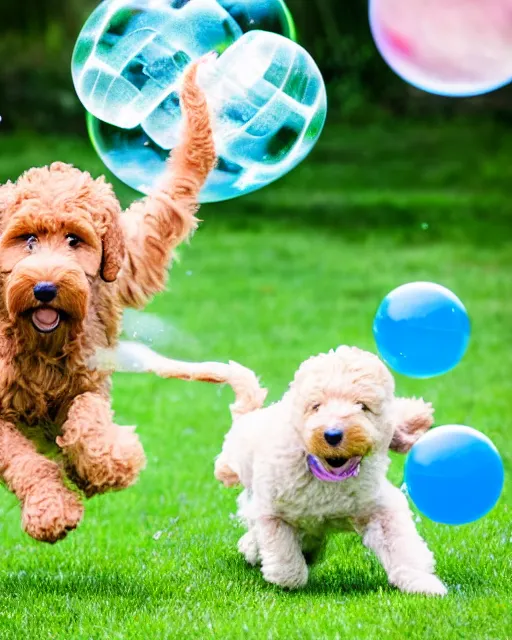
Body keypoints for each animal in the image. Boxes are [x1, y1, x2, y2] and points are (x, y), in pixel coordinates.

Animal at [0, 60, 216, 544]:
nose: (46, 288)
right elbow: (22, 460)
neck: (40, 347)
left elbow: (86, 417)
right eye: (27, 239)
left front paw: (107, 464)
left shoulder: (89, 378)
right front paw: (50, 509)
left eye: (74, 240)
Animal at [214, 348, 446, 596]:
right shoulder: (273, 511)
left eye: (362, 406)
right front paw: (285, 574)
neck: (328, 479)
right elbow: (285, 559)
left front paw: (423, 582)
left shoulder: (379, 507)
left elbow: (401, 545)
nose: (332, 435)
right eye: (316, 406)